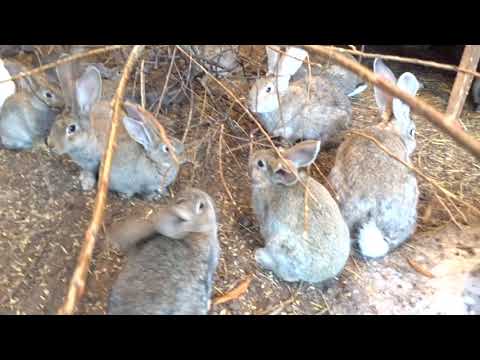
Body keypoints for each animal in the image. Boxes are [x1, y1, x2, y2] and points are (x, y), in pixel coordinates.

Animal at [249, 141, 350, 284]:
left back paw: (260, 256)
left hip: (282, 246)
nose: (253, 155)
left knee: (287, 275)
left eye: (260, 164)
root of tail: (318, 275)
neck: (273, 183)